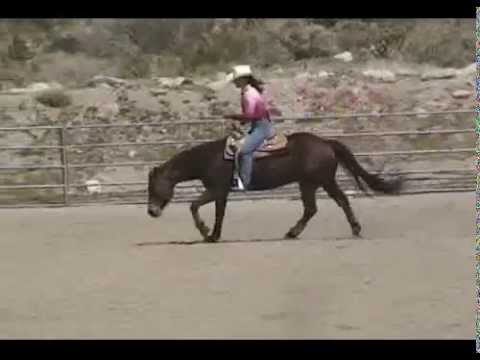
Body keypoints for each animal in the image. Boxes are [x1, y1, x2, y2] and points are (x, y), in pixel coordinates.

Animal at [146, 131, 402, 243]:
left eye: (154, 187)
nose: (151, 211)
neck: (210, 158)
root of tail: (326, 142)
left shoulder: (217, 190)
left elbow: (196, 206)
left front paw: (207, 233)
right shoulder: (221, 192)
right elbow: (215, 212)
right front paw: (212, 234)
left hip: (324, 181)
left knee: (341, 201)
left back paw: (356, 229)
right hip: (307, 183)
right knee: (311, 209)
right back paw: (292, 232)